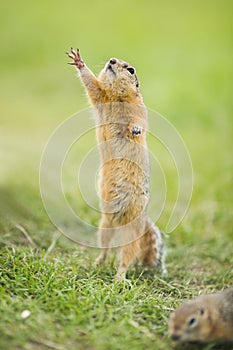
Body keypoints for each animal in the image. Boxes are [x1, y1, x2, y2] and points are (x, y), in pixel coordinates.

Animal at [66, 48, 167, 278]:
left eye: (131, 70)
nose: (111, 61)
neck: (116, 97)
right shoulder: (99, 97)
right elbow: (91, 84)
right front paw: (78, 61)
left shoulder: (140, 109)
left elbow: (139, 122)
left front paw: (135, 129)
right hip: (105, 226)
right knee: (106, 248)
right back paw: (97, 262)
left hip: (130, 233)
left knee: (126, 257)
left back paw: (119, 277)